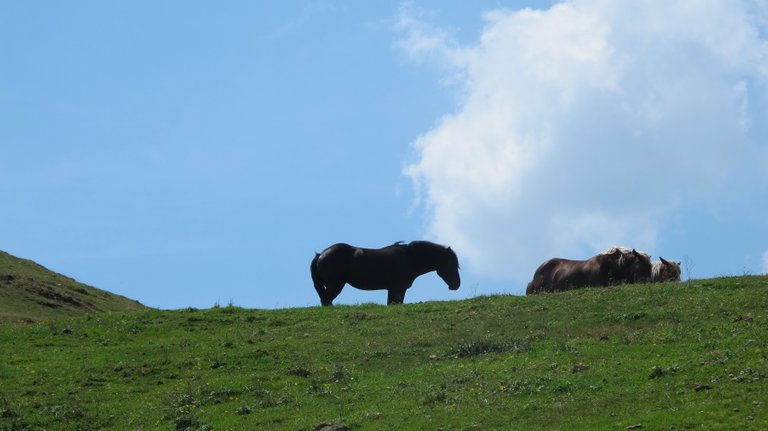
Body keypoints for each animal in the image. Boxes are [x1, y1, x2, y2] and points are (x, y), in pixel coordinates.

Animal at [308, 240, 460, 308]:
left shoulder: (392, 289)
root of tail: (320, 255)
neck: (409, 258)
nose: (456, 285)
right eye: (451, 264)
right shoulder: (399, 289)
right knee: (326, 300)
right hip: (336, 284)